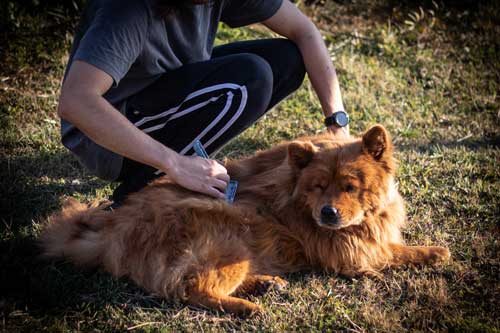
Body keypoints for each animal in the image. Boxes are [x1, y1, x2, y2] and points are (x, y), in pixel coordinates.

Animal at [41, 124, 452, 314]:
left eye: (350, 186)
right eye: (319, 186)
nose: (328, 212)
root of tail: (112, 230)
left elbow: (393, 243)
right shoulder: (348, 251)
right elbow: (392, 252)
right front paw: (433, 252)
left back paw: (266, 284)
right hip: (231, 234)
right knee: (191, 289)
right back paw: (247, 307)